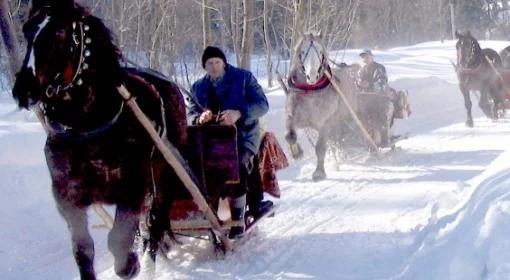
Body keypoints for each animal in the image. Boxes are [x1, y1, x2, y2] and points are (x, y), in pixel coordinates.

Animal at [11, 1, 186, 278]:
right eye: (27, 29)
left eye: (59, 32)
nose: (24, 89)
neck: (87, 128)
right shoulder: (68, 198)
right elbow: (83, 249)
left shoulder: (133, 189)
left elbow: (119, 241)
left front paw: (132, 264)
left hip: (165, 176)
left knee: (155, 223)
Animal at [284, 32, 356, 182]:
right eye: (302, 51)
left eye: (321, 52)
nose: (311, 76)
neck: (310, 93)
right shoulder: (292, 117)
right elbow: (289, 135)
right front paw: (297, 153)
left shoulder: (325, 124)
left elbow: (320, 148)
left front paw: (319, 172)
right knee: (336, 139)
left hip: (344, 117)